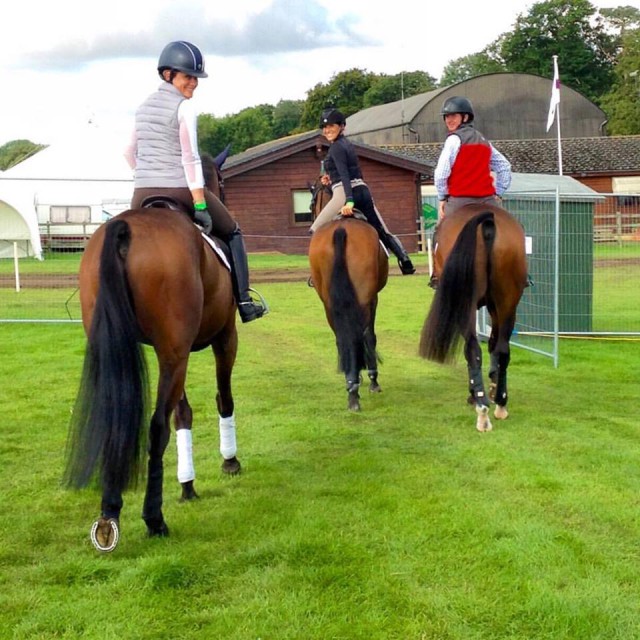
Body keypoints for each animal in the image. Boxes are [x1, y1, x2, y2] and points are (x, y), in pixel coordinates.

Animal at [65, 151, 240, 552]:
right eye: (221, 181)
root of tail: (124, 228)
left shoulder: (179, 350)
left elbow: (184, 414)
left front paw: (188, 485)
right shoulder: (223, 336)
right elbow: (223, 399)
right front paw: (229, 462)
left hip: (138, 350)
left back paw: (109, 515)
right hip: (176, 352)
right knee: (157, 427)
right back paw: (154, 519)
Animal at [308, 178, 388, 412]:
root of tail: (341, 228)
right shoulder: (373, 299)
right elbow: (369, 335)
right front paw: (372, 379)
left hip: (329, 304)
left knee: (342, 337)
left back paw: (351, 385)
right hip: (363, 299)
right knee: (359, 335)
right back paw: (355, 386)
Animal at [418, 204, 528, 436]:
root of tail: (486, 220)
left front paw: (476, 392)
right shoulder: (495, 307)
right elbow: (494, 344)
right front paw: (493, 387)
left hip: (467, 306)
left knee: (473, 350)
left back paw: (481, 408)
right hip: (508, 302)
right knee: (502, 349)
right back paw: (501, 403)